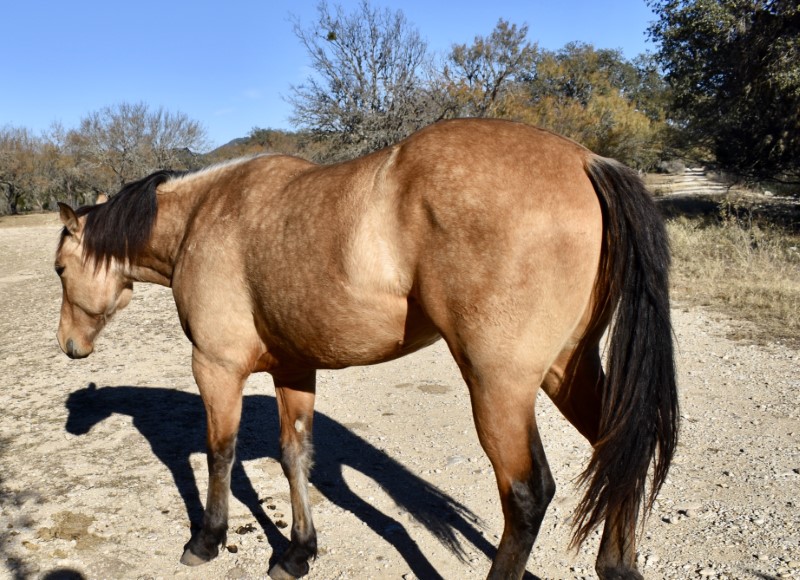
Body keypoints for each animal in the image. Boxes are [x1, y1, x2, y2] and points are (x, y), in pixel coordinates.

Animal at [53, 119, 680, 580]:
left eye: (60, 268)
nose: (68, 346)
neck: (205, 217)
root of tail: (585, 160)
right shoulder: (294, 368)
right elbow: (295, 456)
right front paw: (298, 553)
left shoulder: (217, 368)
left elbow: (219, 454)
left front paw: (207, 539)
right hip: (566, 370)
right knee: (620, 447)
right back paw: (617, 566)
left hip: (499, 387)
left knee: (527, 496)